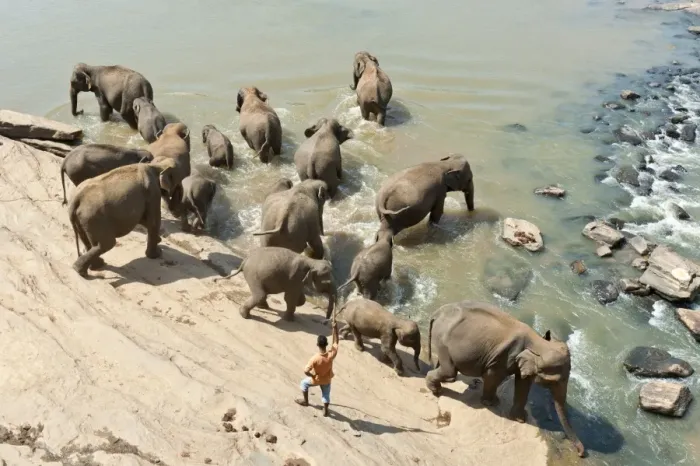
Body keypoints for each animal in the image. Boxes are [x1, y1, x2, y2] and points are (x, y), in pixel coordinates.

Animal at [425, 301, 585, 458]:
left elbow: (523, 384)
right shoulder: (503, 357)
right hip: (443, 341)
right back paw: (436, 390)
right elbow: (493, 376)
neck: (538, 340)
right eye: (556, 380)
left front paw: (520, 419)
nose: (581, 453)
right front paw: (491, 403)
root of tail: (437, 312)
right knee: (450, 371)